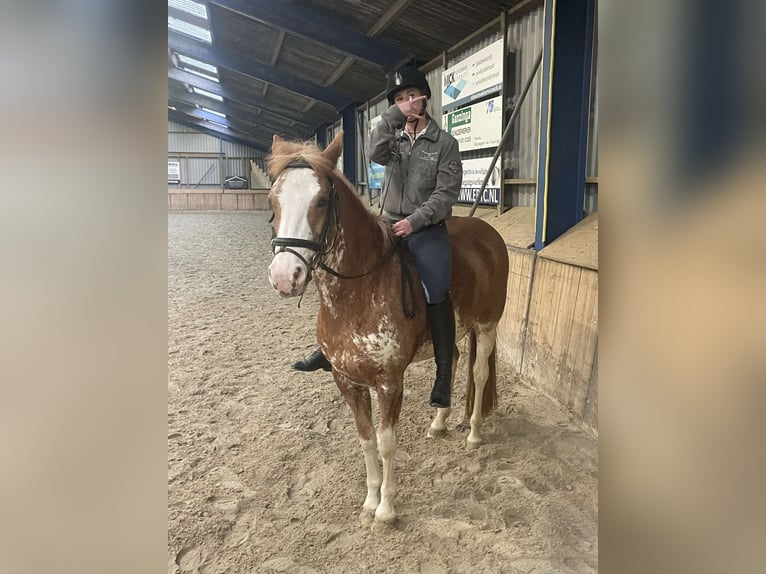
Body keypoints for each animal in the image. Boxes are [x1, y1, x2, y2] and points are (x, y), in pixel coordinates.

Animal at [267, 131, 509, 526]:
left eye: (321, 200)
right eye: (273, 200)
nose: (285, 277)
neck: (358, 292)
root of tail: (489, 232)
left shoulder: (388, 383)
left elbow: (386, 442)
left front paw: (386, 508)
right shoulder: (347, 381)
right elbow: (366, 440)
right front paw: (369, 499)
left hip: (487, 325)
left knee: (478, 370)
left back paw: (473, 433)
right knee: (453, 359)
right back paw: (439, 422)